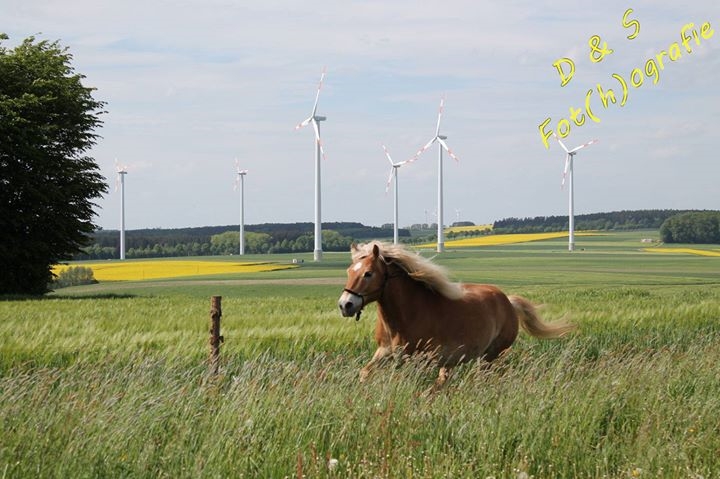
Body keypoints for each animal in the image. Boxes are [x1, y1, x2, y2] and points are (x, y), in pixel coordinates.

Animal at [338, 242, 572, 384]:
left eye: (368, 273)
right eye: (349, 271)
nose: (345, 305)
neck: (406, 313)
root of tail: (508, 301)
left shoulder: (417, 359)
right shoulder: (385, 352)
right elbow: (365, 372)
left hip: (491, 355)